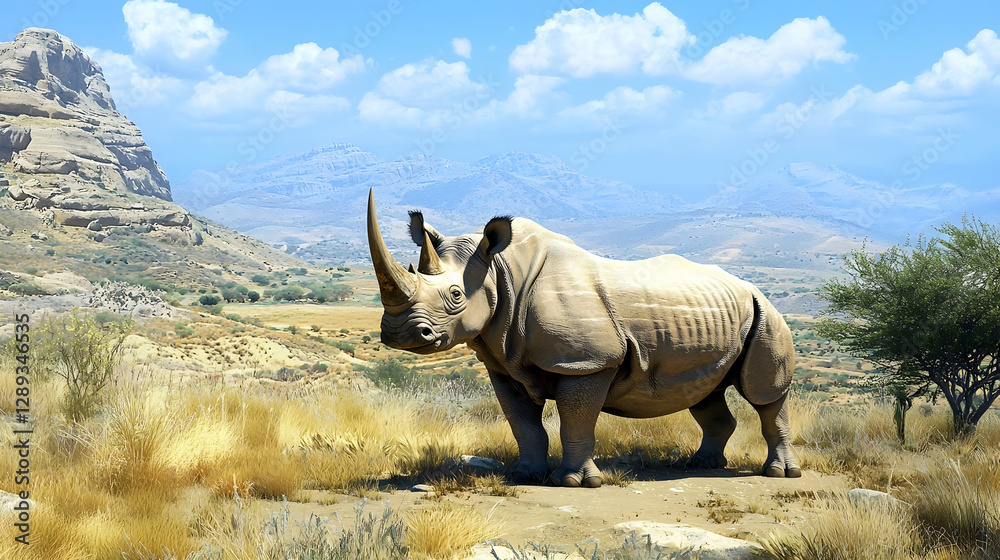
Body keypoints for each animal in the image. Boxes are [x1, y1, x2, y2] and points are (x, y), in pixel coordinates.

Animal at [367, 190, 800, 487]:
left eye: (456, 296)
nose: (399, 334)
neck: (500, 270)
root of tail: (751, 287)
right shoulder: (505, 363)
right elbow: (522, 422)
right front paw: (526, 475)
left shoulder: (587, 362)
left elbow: (576, 419)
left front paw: (575, 482)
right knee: (704, 392)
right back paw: (702, 465)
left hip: (766, 314)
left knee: (764, 395)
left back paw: (780, 474)